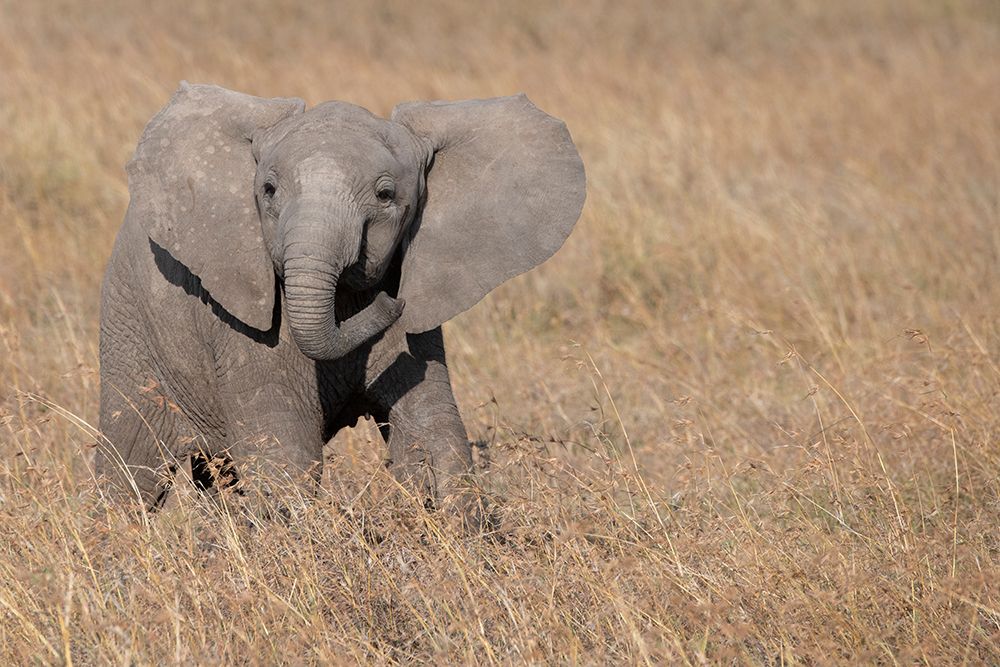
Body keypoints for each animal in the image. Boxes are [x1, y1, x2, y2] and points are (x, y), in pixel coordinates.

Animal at [97, 83, 584, 512]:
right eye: (268, 190)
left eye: (386, 195)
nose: (393, 303)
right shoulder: (241, 321)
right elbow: (285, 449)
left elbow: (435, 431)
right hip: (130, 329)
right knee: (129, 467)